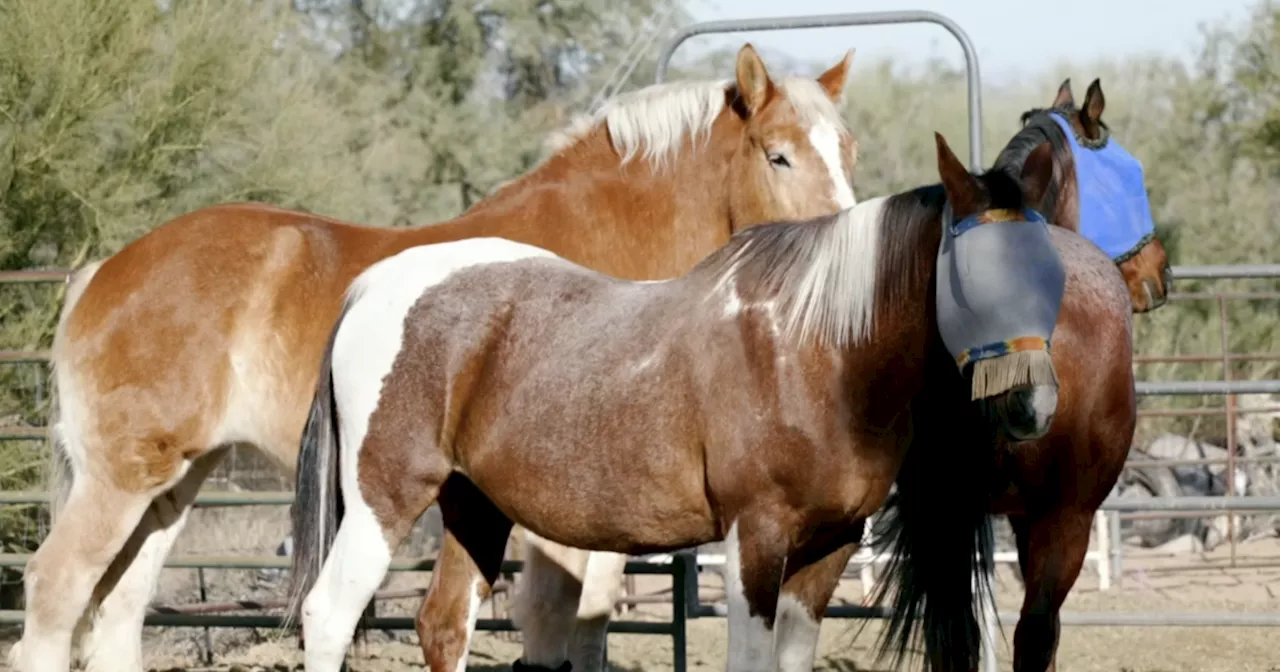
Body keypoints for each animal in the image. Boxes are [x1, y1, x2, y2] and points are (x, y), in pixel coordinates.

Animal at [10, 44, 860, 670]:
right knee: (55, 595)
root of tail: (103, 273)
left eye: (846, 149)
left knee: (117, 611)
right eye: (779, 155)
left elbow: (585, 624)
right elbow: (554, 620)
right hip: (122, 480)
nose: (845, 246)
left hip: (174, 485)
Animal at [290, 131, 1070, 670]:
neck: (814, 350)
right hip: (384, 500)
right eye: (972, 275)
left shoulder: (829, 549)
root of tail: (373, 286)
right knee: (328, 614)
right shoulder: (755, 539)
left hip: (473, 506)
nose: (1033, 407)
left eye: (1052, 271)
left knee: (445, 625)